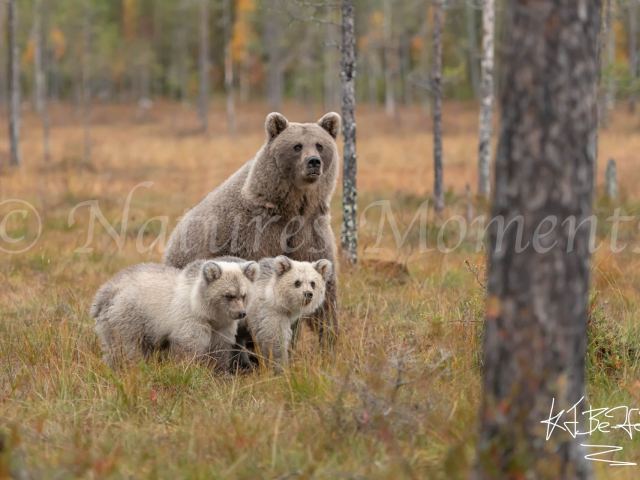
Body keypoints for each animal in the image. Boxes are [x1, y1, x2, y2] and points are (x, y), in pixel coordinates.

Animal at [164, 112, 340, 360]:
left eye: (320, 145)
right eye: (297, 146)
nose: (313, 162)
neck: (292, 209)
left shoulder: (311, 234)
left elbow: (326, 297)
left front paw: (331, 346)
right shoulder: (252, 234)